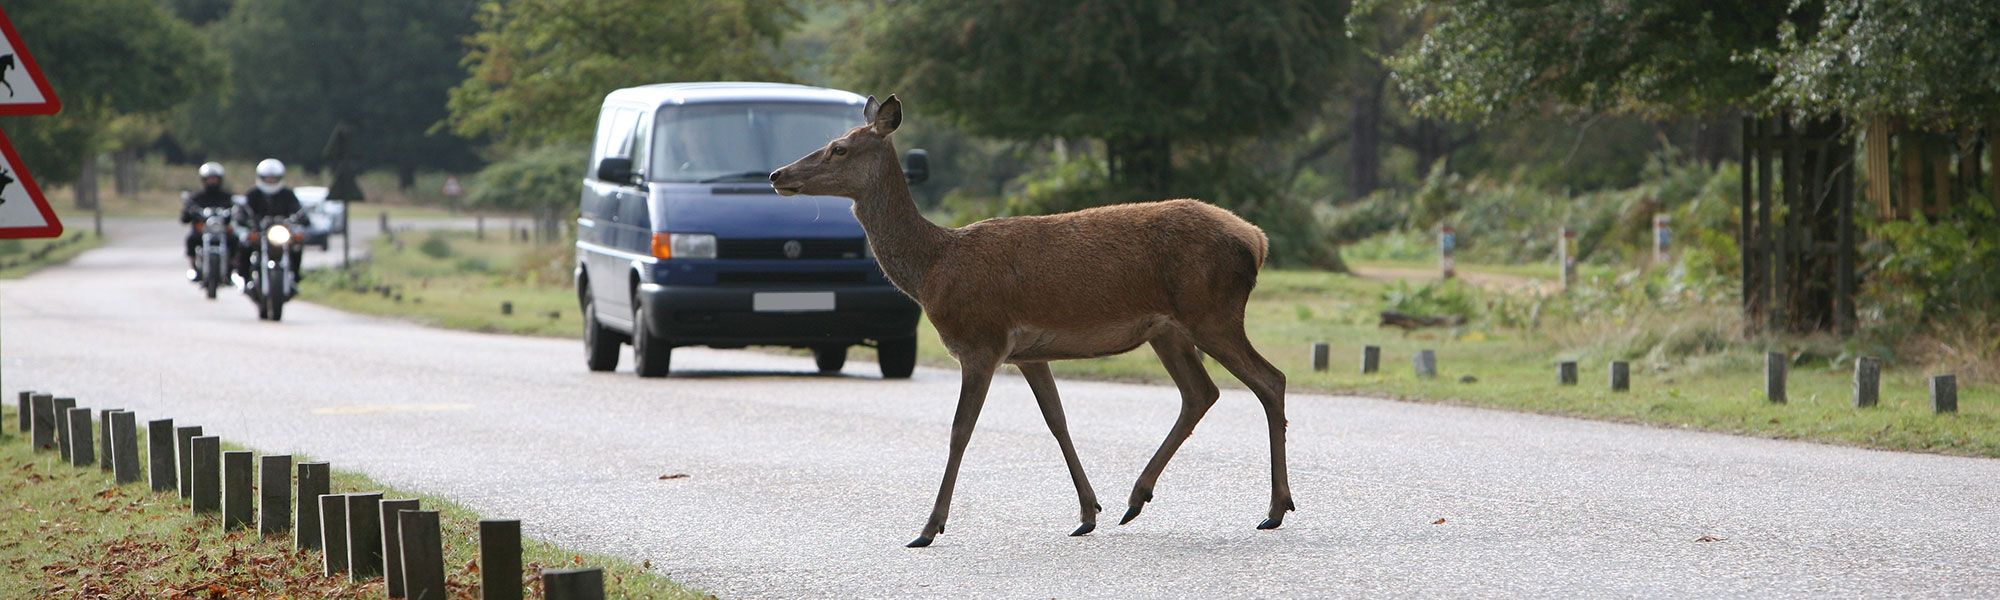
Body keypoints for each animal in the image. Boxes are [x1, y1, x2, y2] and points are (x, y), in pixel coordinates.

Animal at [772, 95, 1288, 548]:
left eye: (839, 147)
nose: (779, 174)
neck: (933, 268)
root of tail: (1257, 240)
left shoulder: (981, 341)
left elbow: (960, 431)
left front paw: (928, 528)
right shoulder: (1028, 354)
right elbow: (1057, 420)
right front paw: (1087, 513)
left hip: (1212, 312)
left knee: (1269, 379)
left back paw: (1275, 509)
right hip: (1170, 330)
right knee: (1201, 392)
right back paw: (1136, 499)